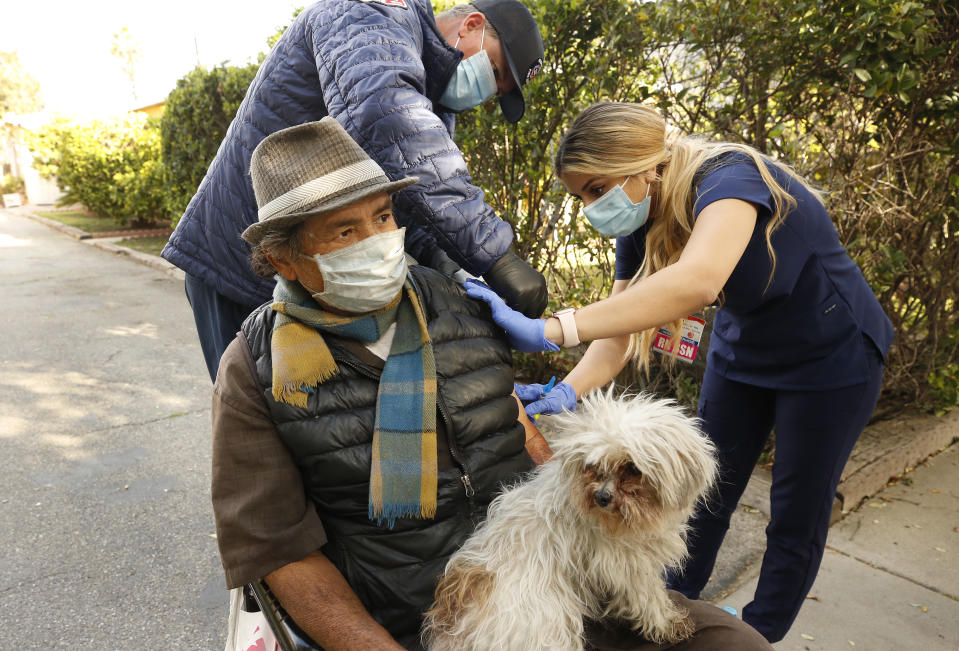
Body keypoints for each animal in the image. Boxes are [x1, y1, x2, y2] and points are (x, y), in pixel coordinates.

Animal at [424, 390, 716, 648]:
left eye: (632, 468)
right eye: (594, 466)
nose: (601, 496)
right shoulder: (628, 567)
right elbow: (649, 598)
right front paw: (668, 624)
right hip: (546, 624)